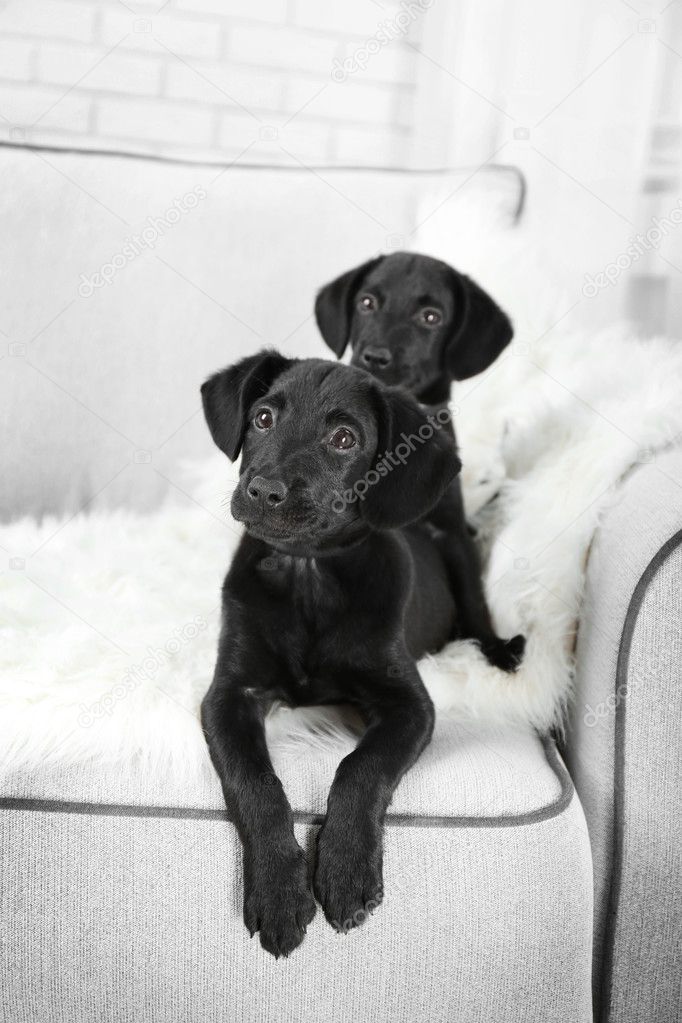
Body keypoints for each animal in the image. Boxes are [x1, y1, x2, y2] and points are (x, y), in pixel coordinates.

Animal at [200, 351, 462, 957]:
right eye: (263, 419)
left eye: (344, 439)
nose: (264, 489)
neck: (308, 572)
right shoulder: (228, 694)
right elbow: (255, 782)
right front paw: (279, 891)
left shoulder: (410, 705)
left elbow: (360, 766)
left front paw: (344, 872)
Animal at [316, 250, 527, 671]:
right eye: (367, 302)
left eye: (431, 317)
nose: (374, 357)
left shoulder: (451, 531)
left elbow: (473, 595)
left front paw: (491, 647)